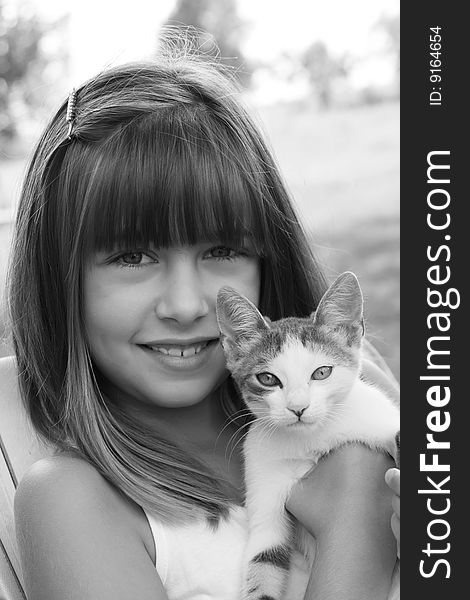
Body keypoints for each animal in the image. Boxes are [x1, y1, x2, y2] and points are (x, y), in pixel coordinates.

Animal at [215, 272, 398, 600]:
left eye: (322, 372)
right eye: (267, 378)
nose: (298, 408)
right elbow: (264, 561)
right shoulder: (264, 483)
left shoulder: (377, 417)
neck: (310, 441)